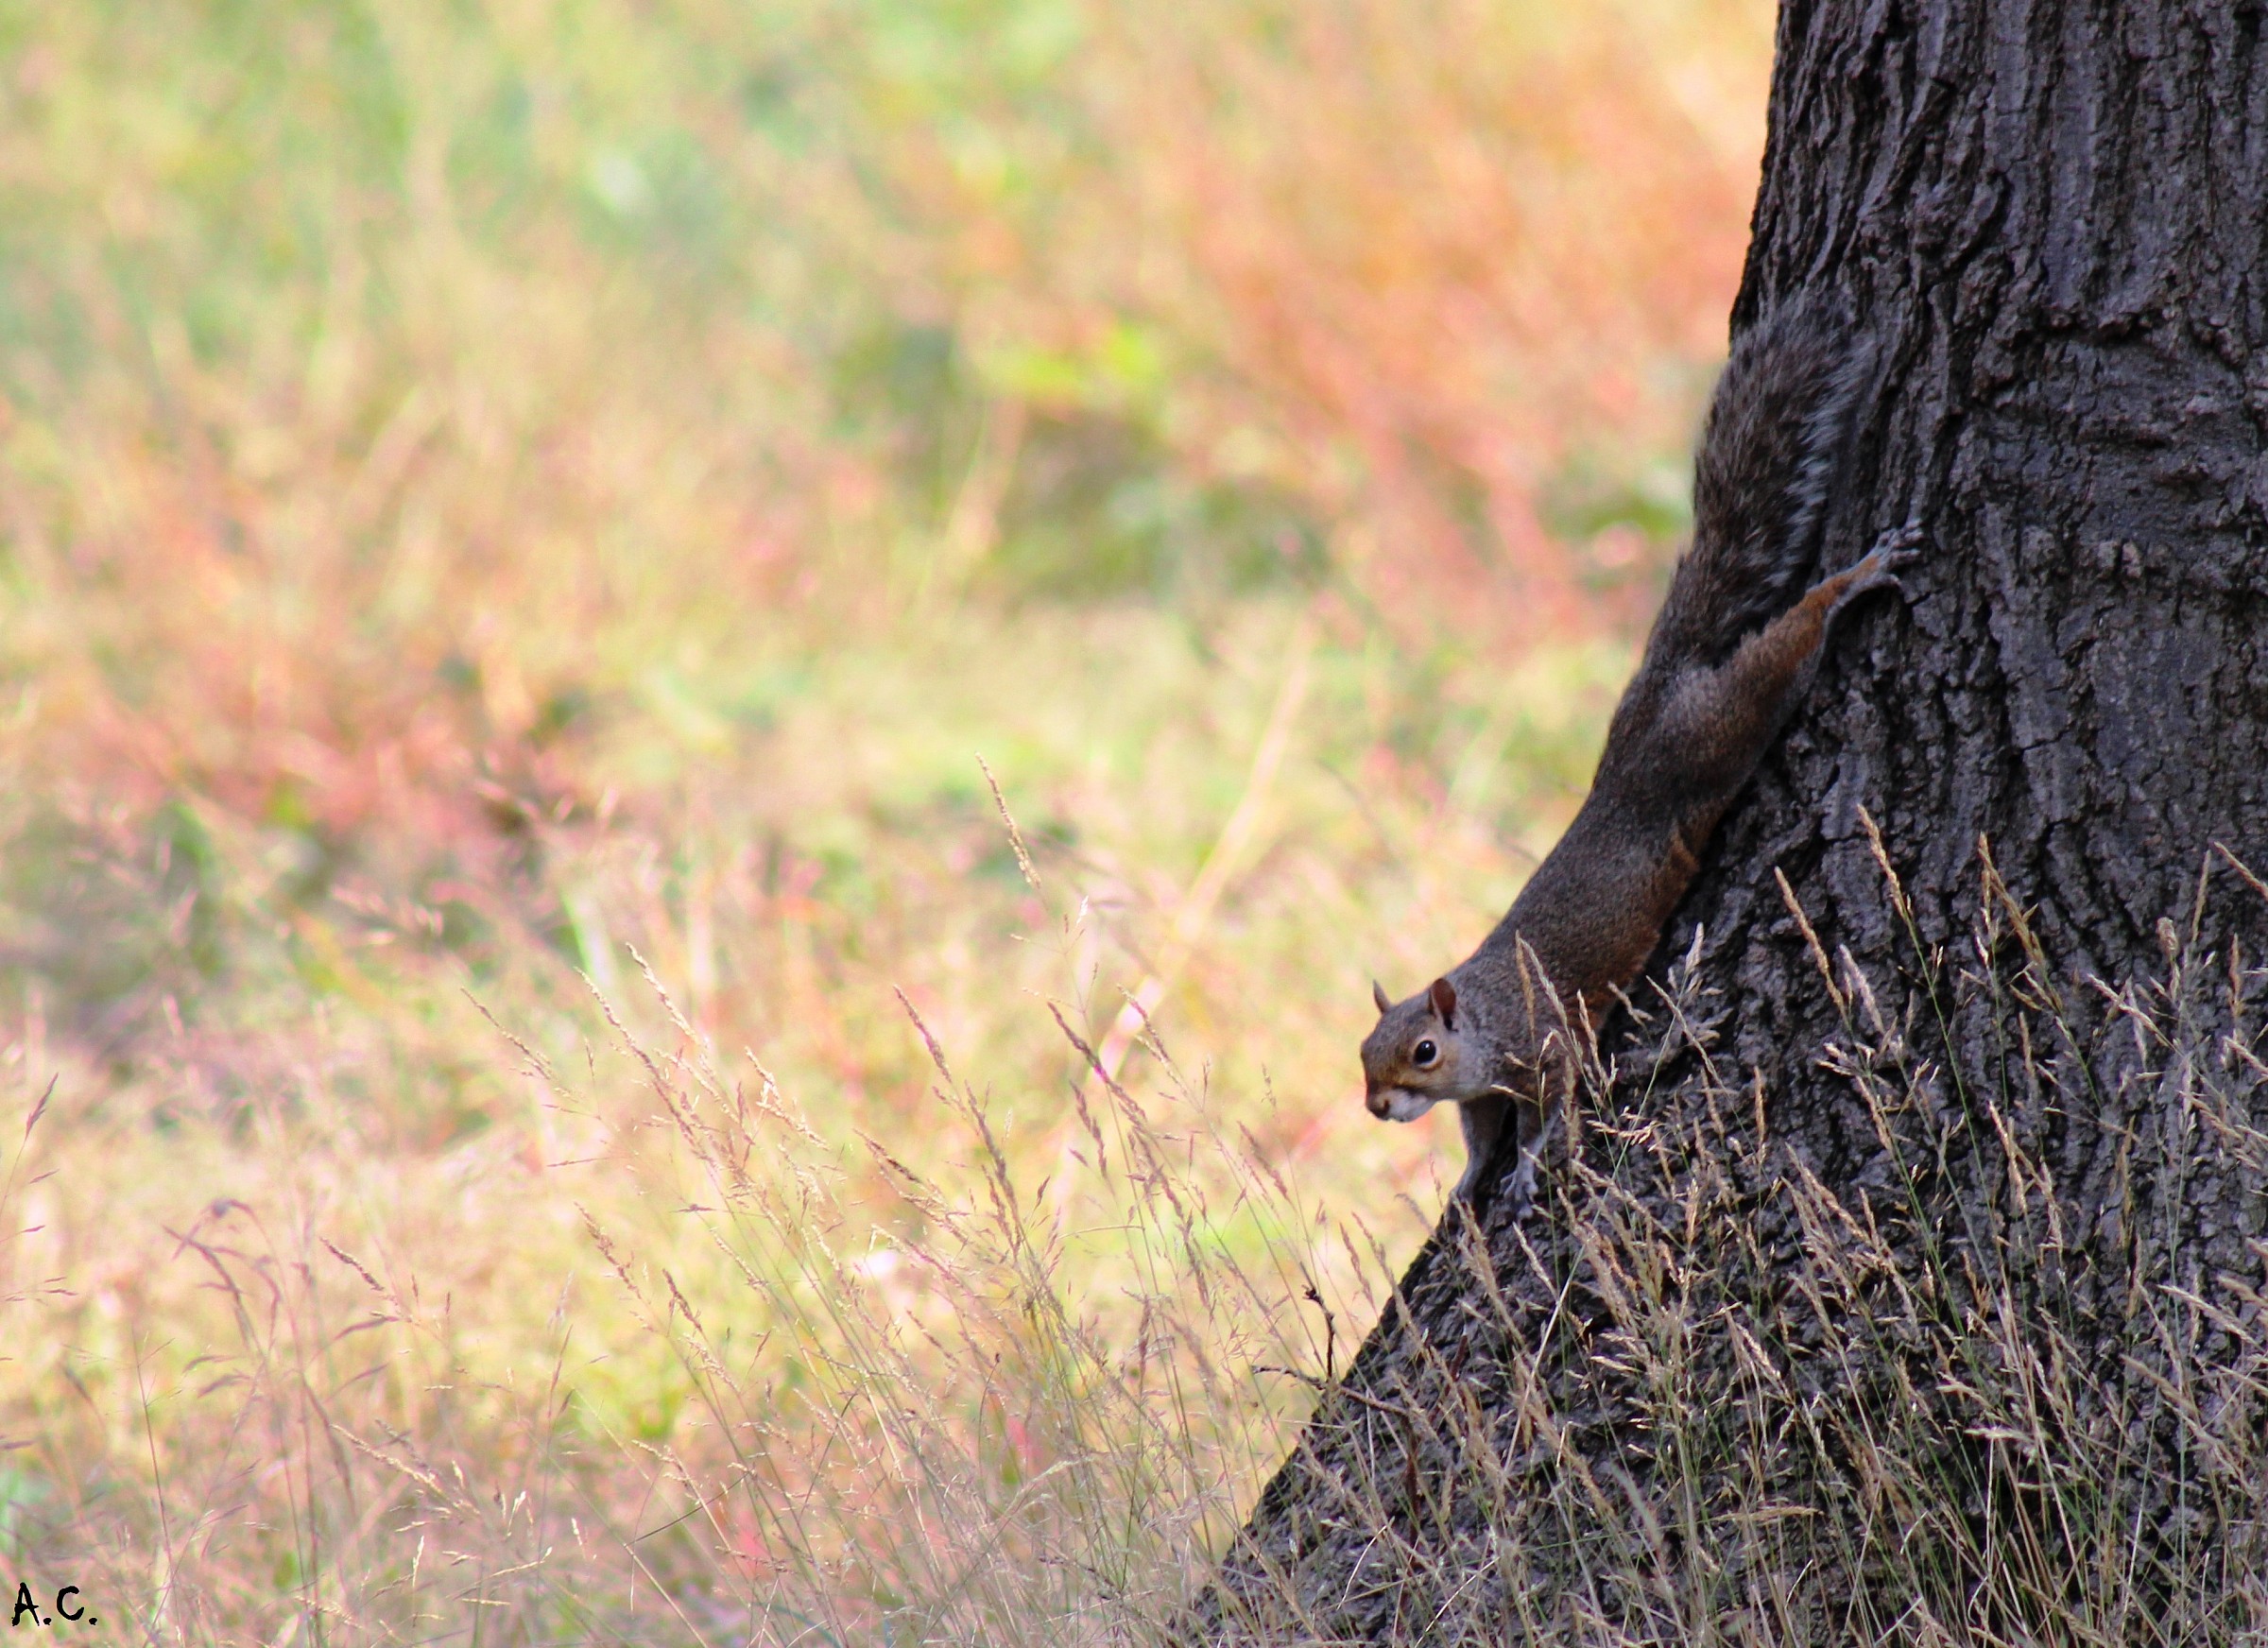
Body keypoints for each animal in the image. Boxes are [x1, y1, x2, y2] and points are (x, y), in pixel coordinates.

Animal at [1361, 299, 1916, 1212]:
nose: (1376, 1107)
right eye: (1365, 1051)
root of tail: (1655, 697)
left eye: (1422, 1053)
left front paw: (1526, 1167)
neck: (1480, 1016)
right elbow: (1477, 1133)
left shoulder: (1545, 1045)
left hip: (1715, 731)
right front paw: (1474, 1176)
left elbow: (1556, 1106)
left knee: (1780, 656)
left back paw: (1854, 579)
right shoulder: (1482, 1094)